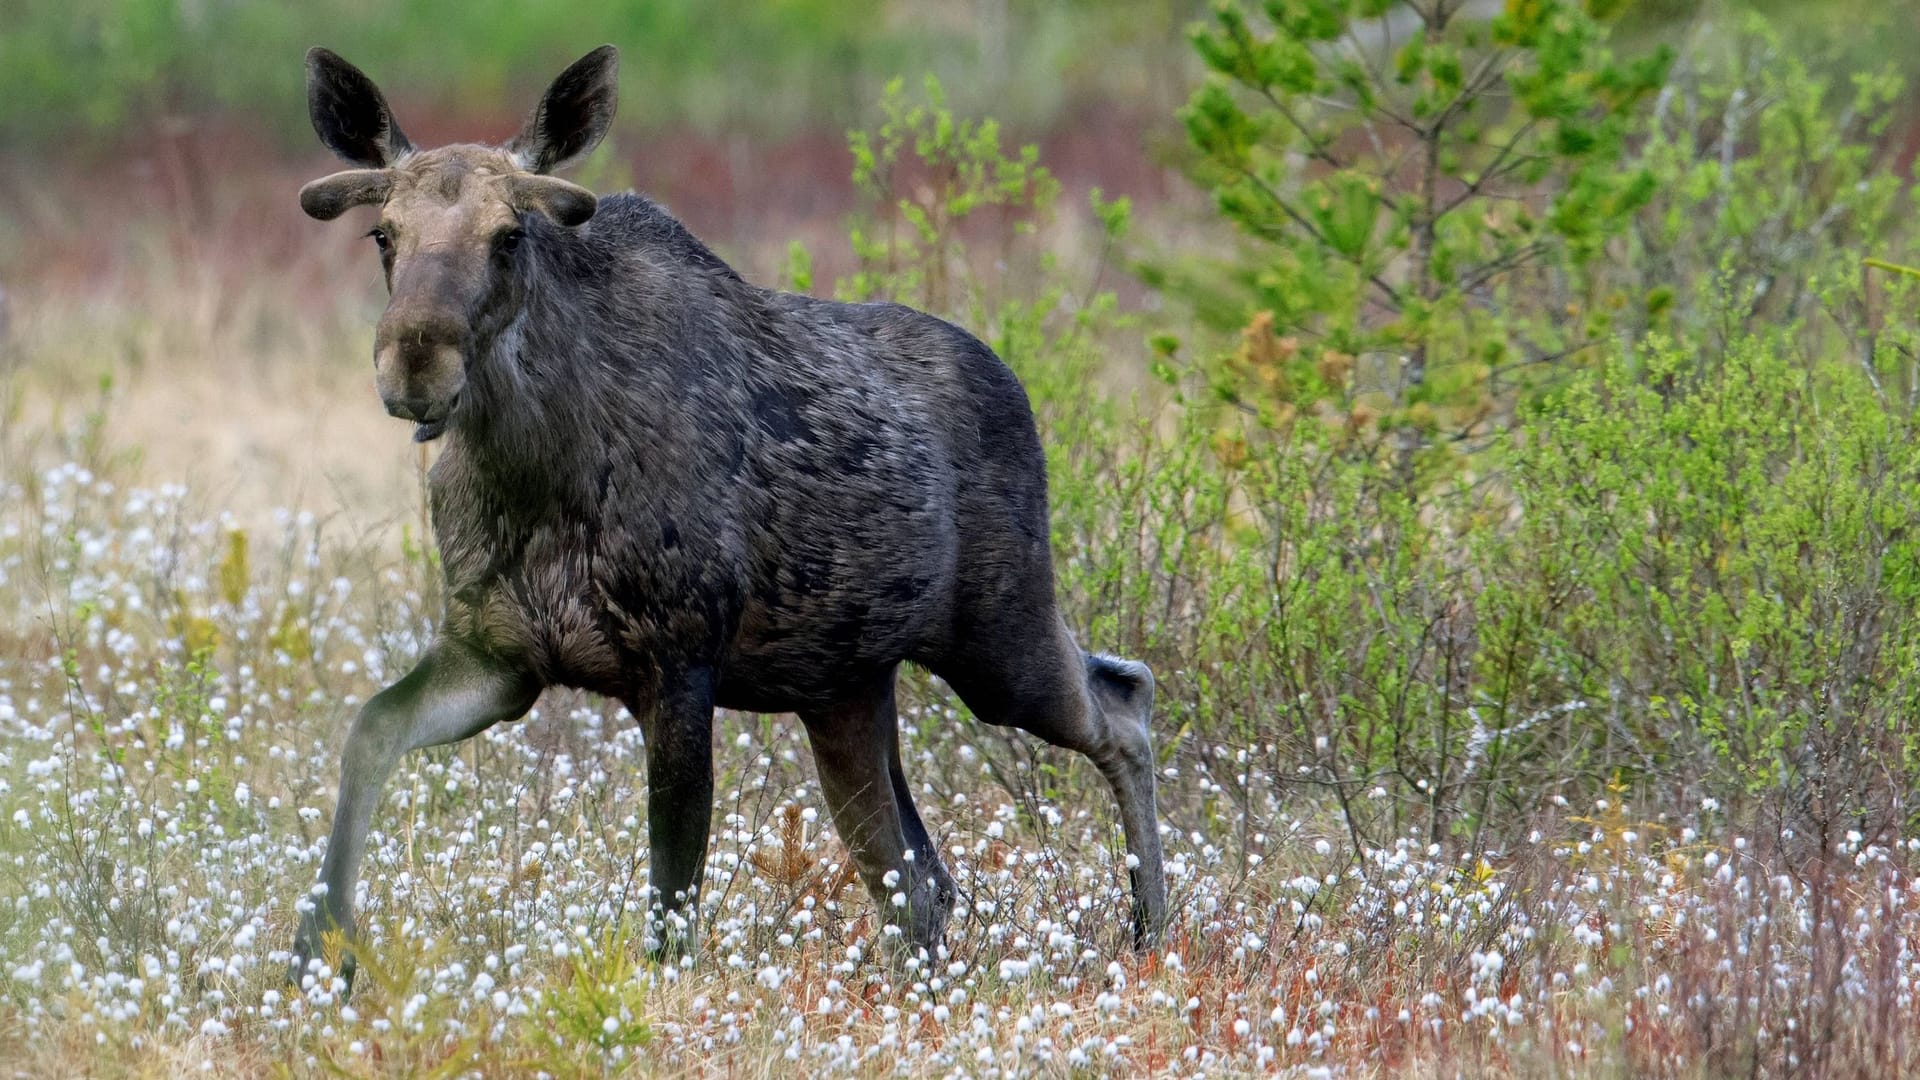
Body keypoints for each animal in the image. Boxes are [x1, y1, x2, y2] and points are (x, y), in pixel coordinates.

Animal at [286, 46, 1167, 980]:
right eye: (384, 234)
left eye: (510, 234)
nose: (415, 362)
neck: (527, 470)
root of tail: (1017, 387)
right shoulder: (498, 655)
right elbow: (369, 729)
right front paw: (319, 950)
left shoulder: (678, 662)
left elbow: (672, 905)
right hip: (848, 689)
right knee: (919, 878)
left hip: (998, 637)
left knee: (1123, 701)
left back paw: (1151, 928)